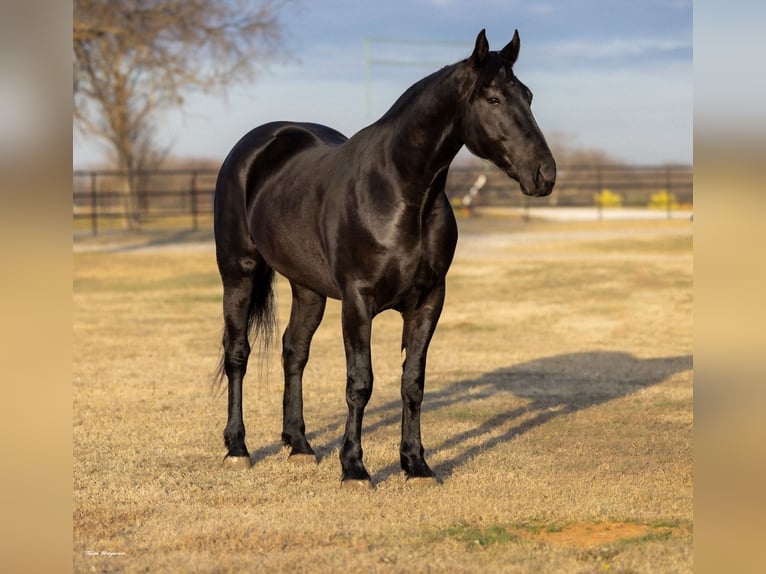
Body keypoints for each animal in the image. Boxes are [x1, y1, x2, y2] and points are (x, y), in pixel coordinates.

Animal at [213, 29, 556, 487]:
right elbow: (361, 382)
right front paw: (355, 469)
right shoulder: (358, 301)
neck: (400, 193)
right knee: (237, 353)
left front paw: (416, 464)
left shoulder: (429, 301)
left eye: (529, 96)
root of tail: (256, 146)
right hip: (239, 272)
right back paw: (237, 448)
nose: (545, 174)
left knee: (294, 351)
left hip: (308, 288)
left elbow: (413, 382)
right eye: (494, 99)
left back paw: (299, 445)